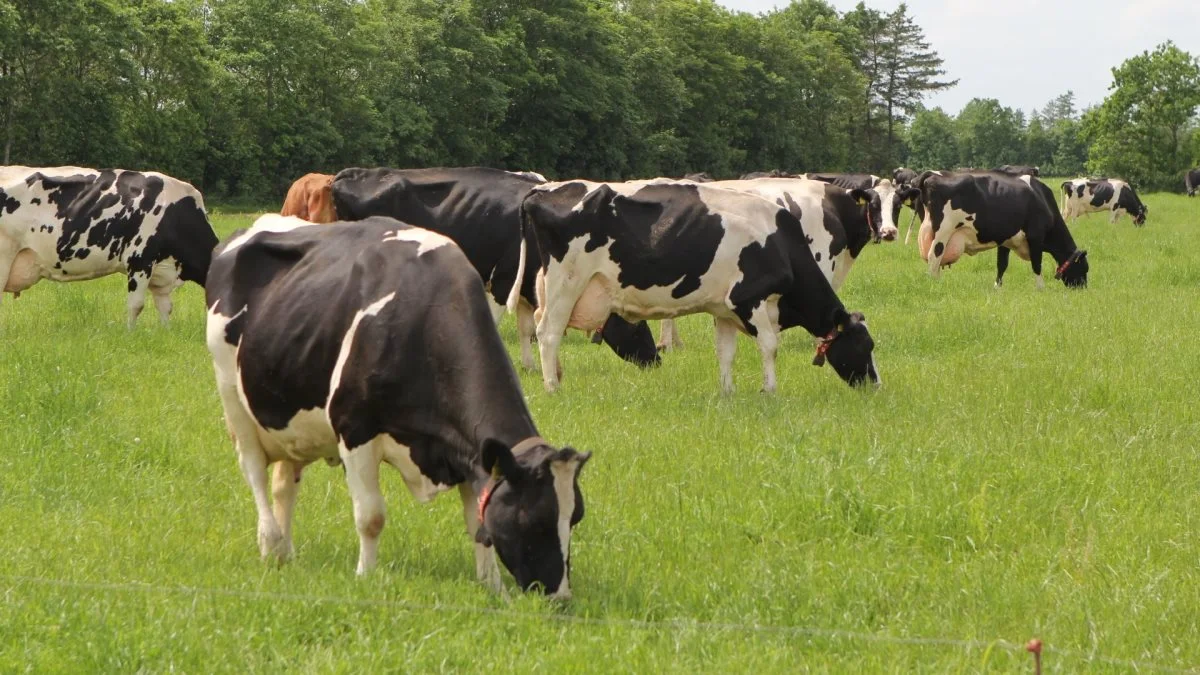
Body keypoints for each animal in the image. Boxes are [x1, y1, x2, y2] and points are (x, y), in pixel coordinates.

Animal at [0, 166, 219, 326]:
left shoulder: (162, 273)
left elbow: (166, 308)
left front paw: (165, 333)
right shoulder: (140, 260)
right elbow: (136, 305)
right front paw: (130, 334)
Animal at [211, 213, 595, 593]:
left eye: (576, 516)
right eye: (534, 519)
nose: (560, 596)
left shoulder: (468, 451)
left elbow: (478, 525)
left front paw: (492, 586)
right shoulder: (354, 430)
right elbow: (371, 516)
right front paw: (365, 576)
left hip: (290, 418)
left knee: (284, 484)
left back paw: (285, 553)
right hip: (233, 400)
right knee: (255, 471)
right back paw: (270, 543)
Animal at [333, 165, 662, 369]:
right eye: (638, 325)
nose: (656, 360)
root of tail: (352, 173)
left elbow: (526, 327)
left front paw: (529, 365)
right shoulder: (504, 281)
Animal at [508, 181, 883, 393]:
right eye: (865, 346)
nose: (875, 386)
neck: (780, 243)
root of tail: (547, 190)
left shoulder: (725, 309)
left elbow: (726, 352)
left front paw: (728, 392)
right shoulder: (750, 299)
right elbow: (769, 346)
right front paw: (771, 390)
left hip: (551, 285)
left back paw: (557, 376)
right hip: (567, 282)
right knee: (548, 333)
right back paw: (552, 387)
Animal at [912, 169, 1094, 288]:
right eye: (1084, 268)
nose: (1082, 289)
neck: (1042, 198)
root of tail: (933, 174)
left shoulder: (1005, 240)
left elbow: (1002, 265)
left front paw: (997, 288)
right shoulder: (1036, 236)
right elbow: (1037, 264)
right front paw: (1041, 288)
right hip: (943, 232)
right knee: (933, 257)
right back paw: (935, 284)